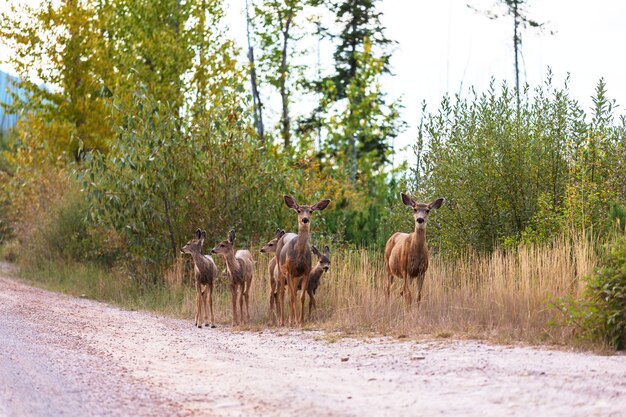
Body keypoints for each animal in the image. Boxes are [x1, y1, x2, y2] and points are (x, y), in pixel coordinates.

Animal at [274, 195, 330, 324]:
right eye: (298, 210)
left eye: (311, 211)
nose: (305, 219)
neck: (299, 257)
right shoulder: (289, 271)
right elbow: (290, 297)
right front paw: (292, 321)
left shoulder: (305, 272)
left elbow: (302, 297)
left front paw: (301, 320)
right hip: (280, 270)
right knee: (281, 294)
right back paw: (283, 321)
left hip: (295, 277)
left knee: (292, 293)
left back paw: (293, 319)